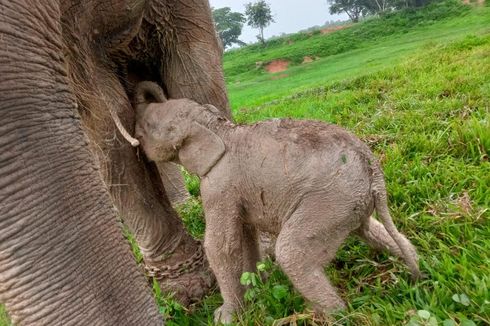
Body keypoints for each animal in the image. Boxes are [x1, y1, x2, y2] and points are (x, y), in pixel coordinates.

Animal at [134, 81, 422, 324]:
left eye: (149, 125)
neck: (217, 127)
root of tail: (373, 168)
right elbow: (245, 234)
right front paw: (255, 290)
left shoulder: (219, 186)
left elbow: (221, 246)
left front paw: (225, 317)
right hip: (349, 203)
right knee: (371, 230)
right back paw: (417, 270)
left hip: (329, 200)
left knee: (291, 252)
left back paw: (330, 315)